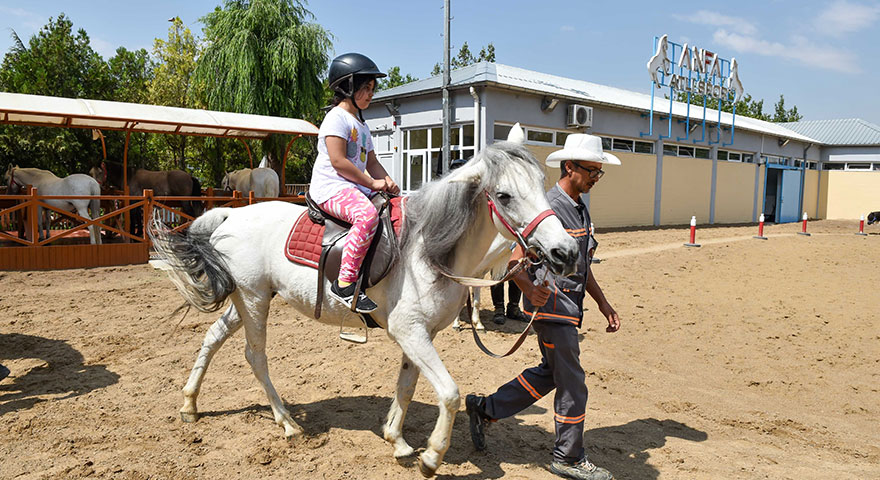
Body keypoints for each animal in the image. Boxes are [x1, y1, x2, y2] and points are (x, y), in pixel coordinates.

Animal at [150, 134, 576, 476]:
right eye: (504, 195)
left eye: (543, 184)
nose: (566, 251)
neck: (428, 250)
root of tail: (229, 214)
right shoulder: (409, 331)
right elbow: (450, 394)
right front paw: (431, 457)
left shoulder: (419, 335)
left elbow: (407, 386)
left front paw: (397, 441)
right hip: (254, 301)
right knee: (255, 356)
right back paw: (286, 422)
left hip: (246, 299)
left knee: (212, 337)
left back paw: (190, 404)